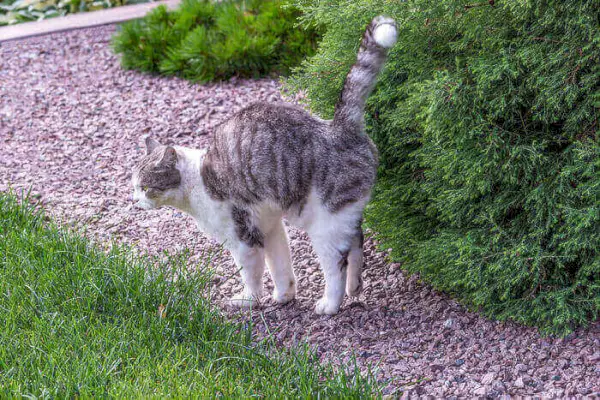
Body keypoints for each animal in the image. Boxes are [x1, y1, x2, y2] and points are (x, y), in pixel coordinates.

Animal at [129, 16, 396, 316]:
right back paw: (355, 287)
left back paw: (330, 303)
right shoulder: (270, 228)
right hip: (344, 215)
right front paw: (285, 295)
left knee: (336, 263)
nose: (134, 200)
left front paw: (248, 300)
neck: (196, 182)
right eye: (134, 187)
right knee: (357, 241)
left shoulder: (243, 238)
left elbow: (251, 274)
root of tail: (339, 128)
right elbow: (280, 265)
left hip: (325, 223)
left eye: (145, 187)